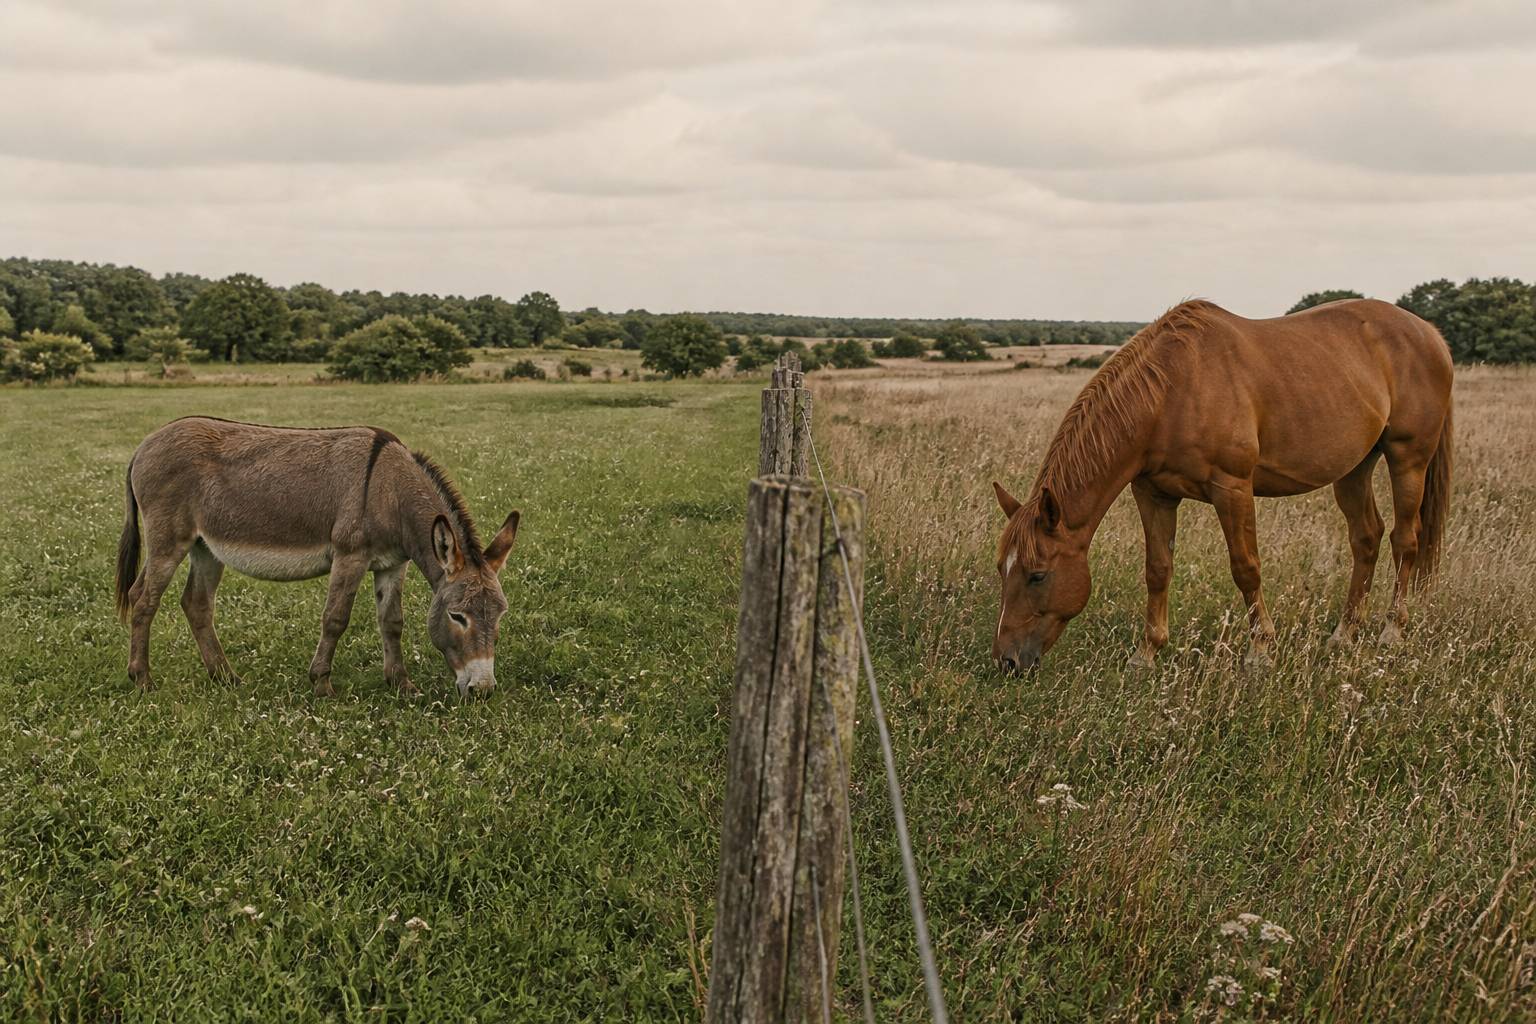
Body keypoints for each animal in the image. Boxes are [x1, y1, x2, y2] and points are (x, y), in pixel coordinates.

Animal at [115, 417, 520, 698]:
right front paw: (322, 685)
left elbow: (392, 622)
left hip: (206, 547)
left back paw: (225, 677)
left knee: (196, 603)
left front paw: (401, 684)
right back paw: (142, 679)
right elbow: (335, 619)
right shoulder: (350, 555)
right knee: (144, 599)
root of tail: (144, 444)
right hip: (169, 539)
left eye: (500, 615)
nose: (482, 691)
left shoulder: (393, 564)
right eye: (457, 616)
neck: (390, 490)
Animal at [991, 298, 1453, 672]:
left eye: (1037, 575)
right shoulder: (1154, 494)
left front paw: (1260, 652)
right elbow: (1158, 570)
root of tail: (1431, 334)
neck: (1171, 391)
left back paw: (1391, 631)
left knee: (1404, 540)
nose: (1007, 661)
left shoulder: (1232, 489)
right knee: (1366, 538)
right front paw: (1147, 653)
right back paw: (1344, 633)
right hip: (1354, 468)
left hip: (1408, 459)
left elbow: (1245, 568)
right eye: (1001, 569)